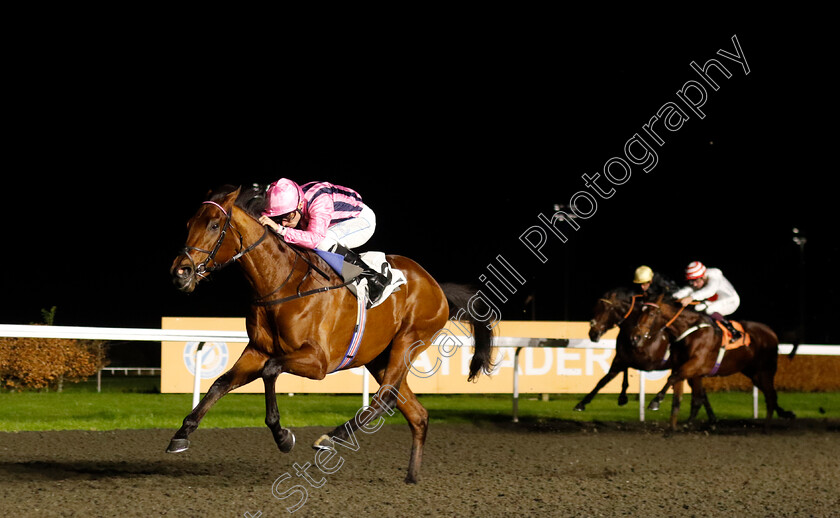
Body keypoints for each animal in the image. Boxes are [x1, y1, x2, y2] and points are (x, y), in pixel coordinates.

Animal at [632, 294, 796, 428]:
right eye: (639, 313)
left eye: (651, 314)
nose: (635, 337)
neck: (689, 331)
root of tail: (771, 332)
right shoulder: (692, 370)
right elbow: (695, 398)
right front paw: (684, 424)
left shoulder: (695, 364)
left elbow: (672, 378)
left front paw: (655, 401)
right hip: (753, 373)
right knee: (771, 395)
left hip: (765, 370)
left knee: (771, 396)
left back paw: (767, 427)